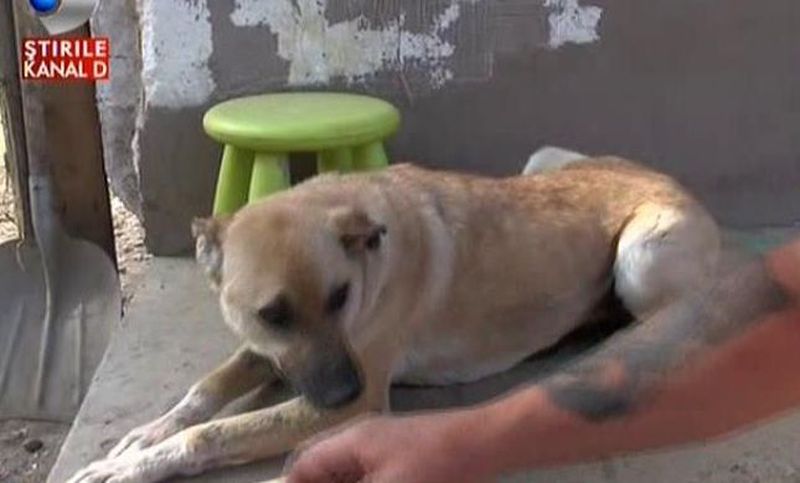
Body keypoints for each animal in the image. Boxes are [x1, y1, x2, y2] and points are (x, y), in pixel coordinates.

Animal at [68, 149, 720, 482]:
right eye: (272, 315)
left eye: (340, 297)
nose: (341, 391)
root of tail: (669, 177)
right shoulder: (266, 351)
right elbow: (205, 392)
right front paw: (147, 434)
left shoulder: (355, 405)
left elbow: (218, 430)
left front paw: (136, 465)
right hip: (542, 162)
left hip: (638, 257)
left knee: (672, 317)